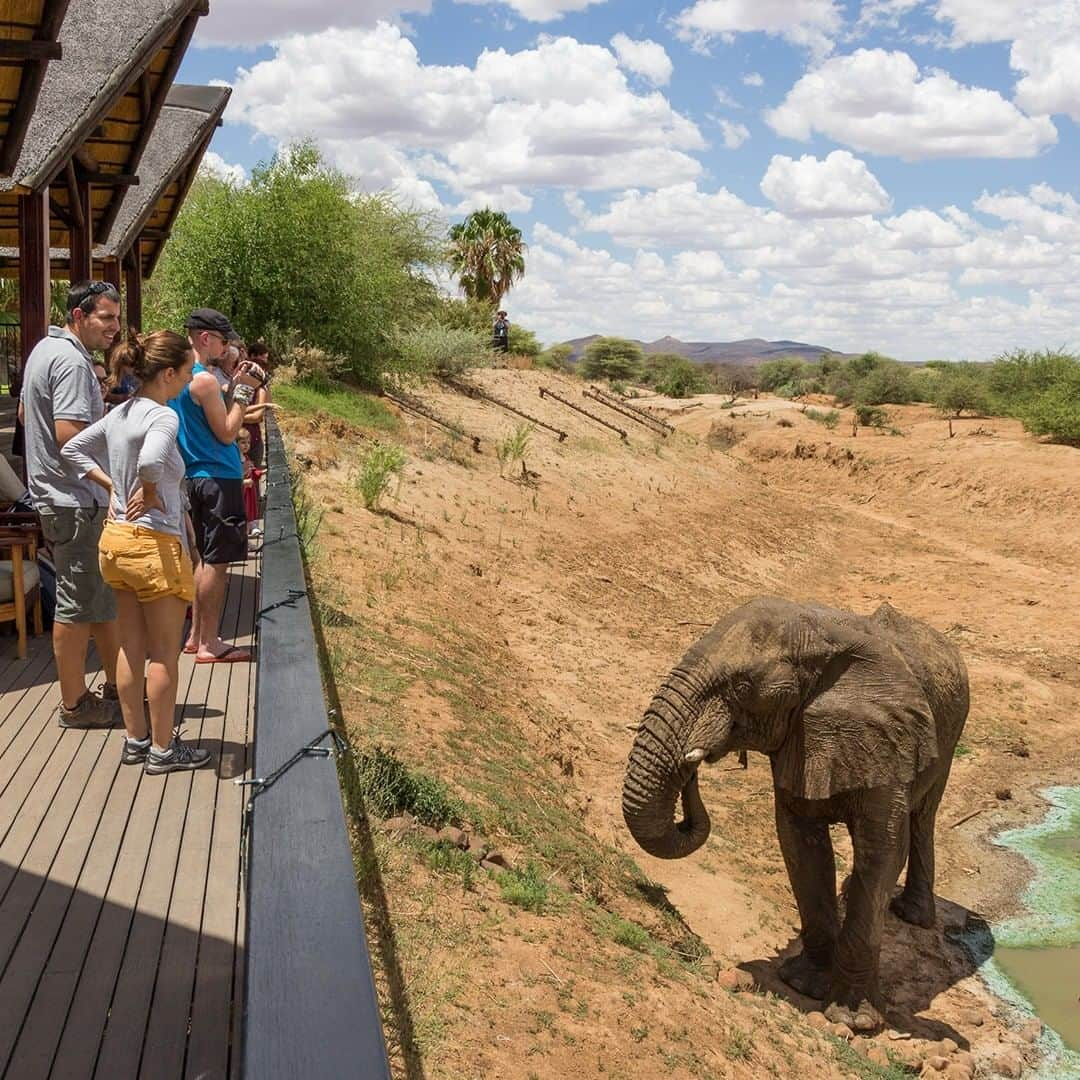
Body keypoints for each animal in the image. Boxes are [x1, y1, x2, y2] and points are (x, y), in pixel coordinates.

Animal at [626, 600, 972, 1028]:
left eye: (742, 688)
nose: (691, 765)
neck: (821, 637)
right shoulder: (803, 736)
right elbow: (800, 843)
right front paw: (804, 985)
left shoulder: (889, 740)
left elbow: (883, 851)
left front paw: (853, 1021)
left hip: (951, 734)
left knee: (923, 818)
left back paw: (912, 916)